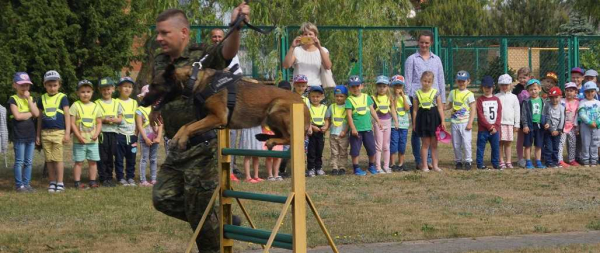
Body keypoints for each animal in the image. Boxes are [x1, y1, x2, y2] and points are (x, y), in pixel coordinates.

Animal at [141, 64, 310, 150]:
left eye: (154, 85)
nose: (142, 102)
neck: (195, 81)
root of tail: (302, 102)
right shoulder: (206, 117)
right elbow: (186, 126)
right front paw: (177, 138)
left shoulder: (217, 117)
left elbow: (190, 127)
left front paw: (182, 140)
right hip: (270, 119)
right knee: (283, 135)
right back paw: (264, 137)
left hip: (276, 107)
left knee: (291, 137)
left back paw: (272, 141)